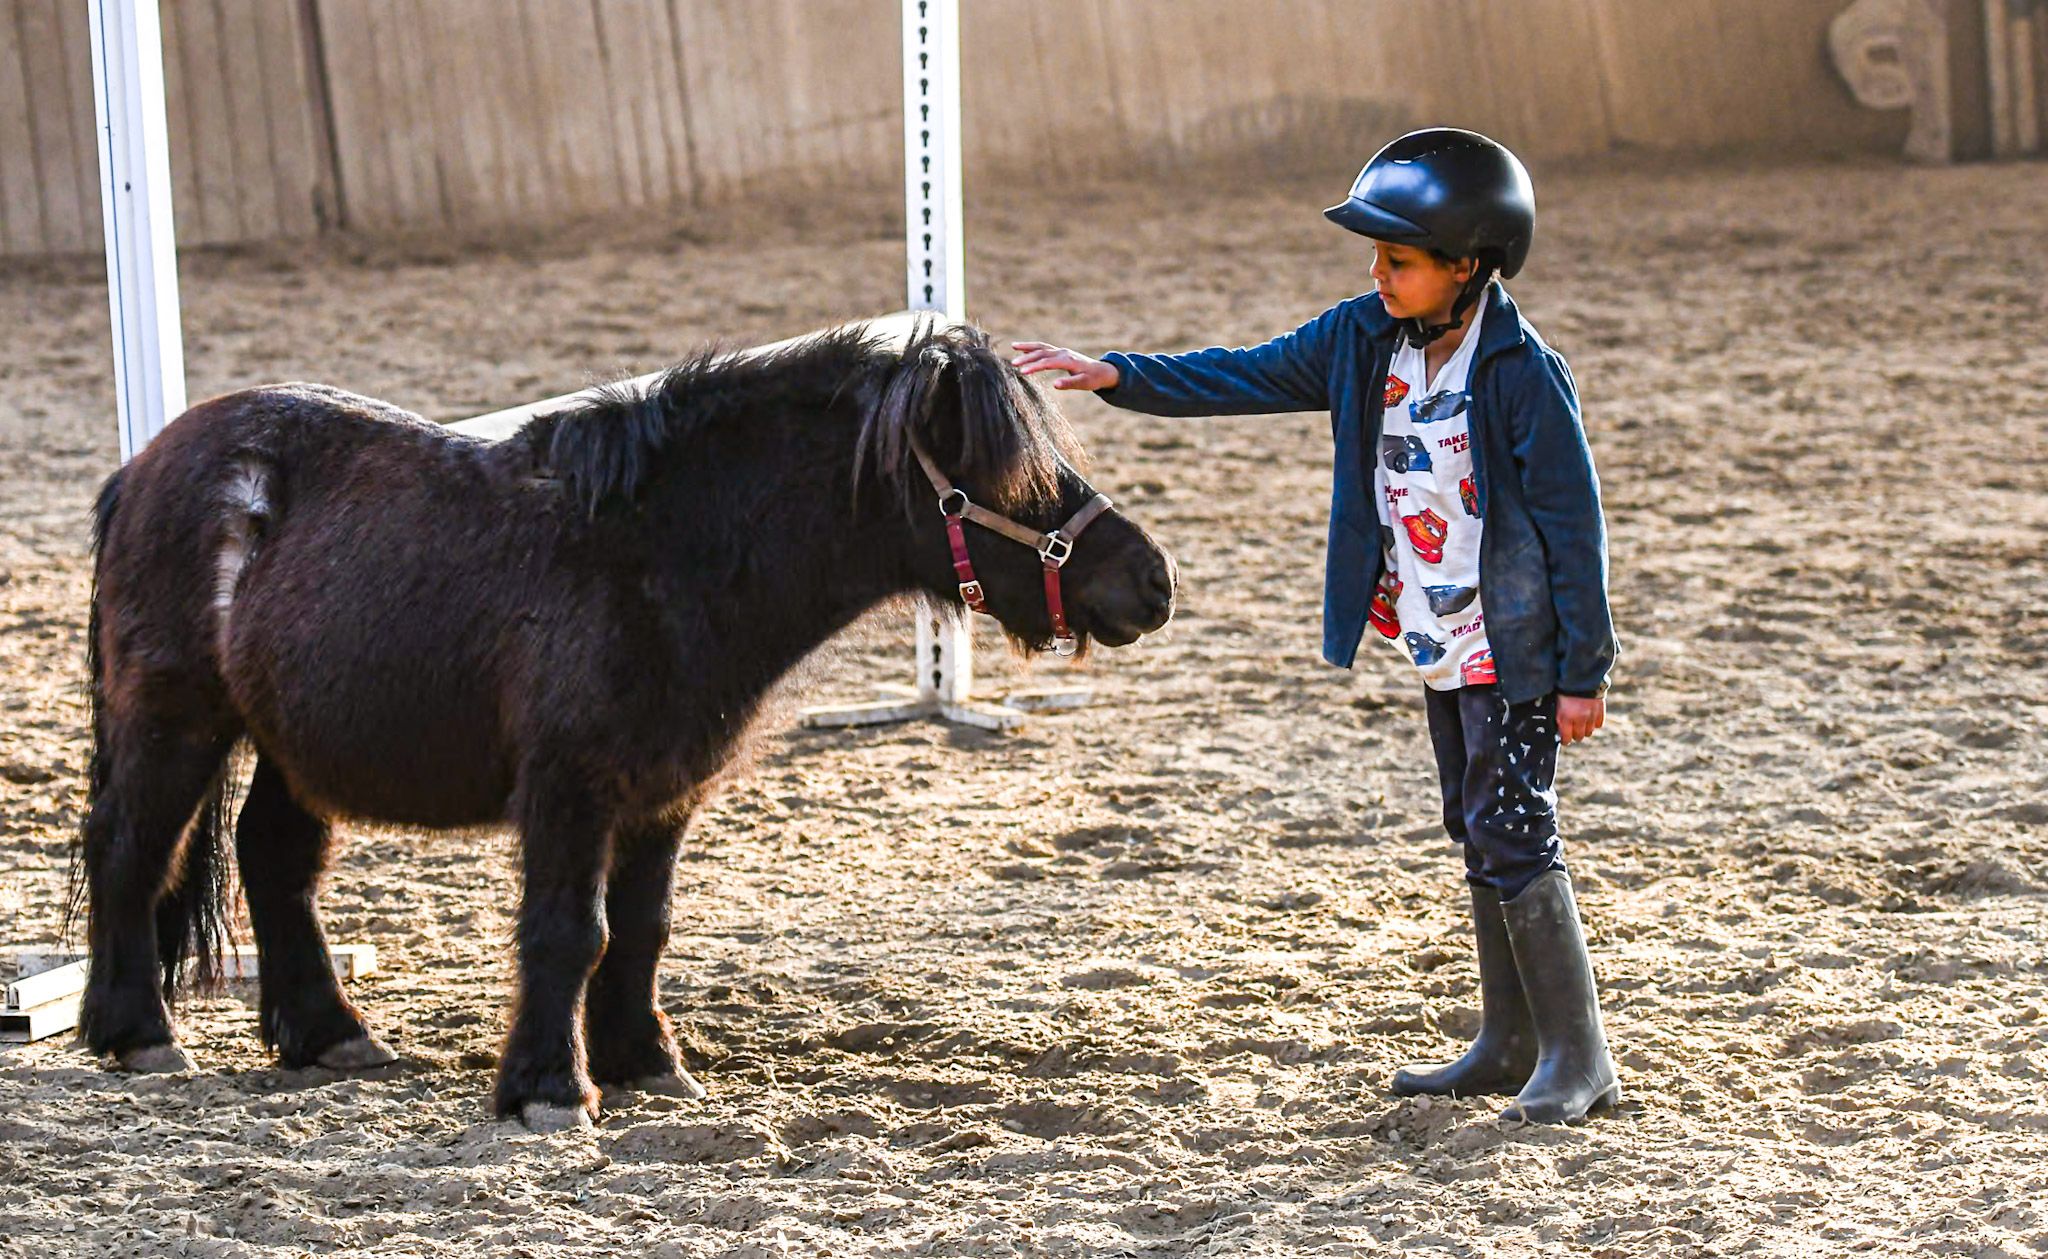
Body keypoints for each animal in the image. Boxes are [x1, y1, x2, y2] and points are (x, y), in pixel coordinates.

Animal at [69, 323, 1176, 1129]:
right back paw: (136, 1033)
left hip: (295, 740)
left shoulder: (663, 791)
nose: (1151, 579)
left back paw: (329, 1032)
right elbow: (570, 929)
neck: (658, 554)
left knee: (273, 859)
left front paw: (645, 1060)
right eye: (1010, 480)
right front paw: (549, 1089)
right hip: (174, 719)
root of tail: (143, 468)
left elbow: (640, 927)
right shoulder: (571, 788)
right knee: (128, 848)